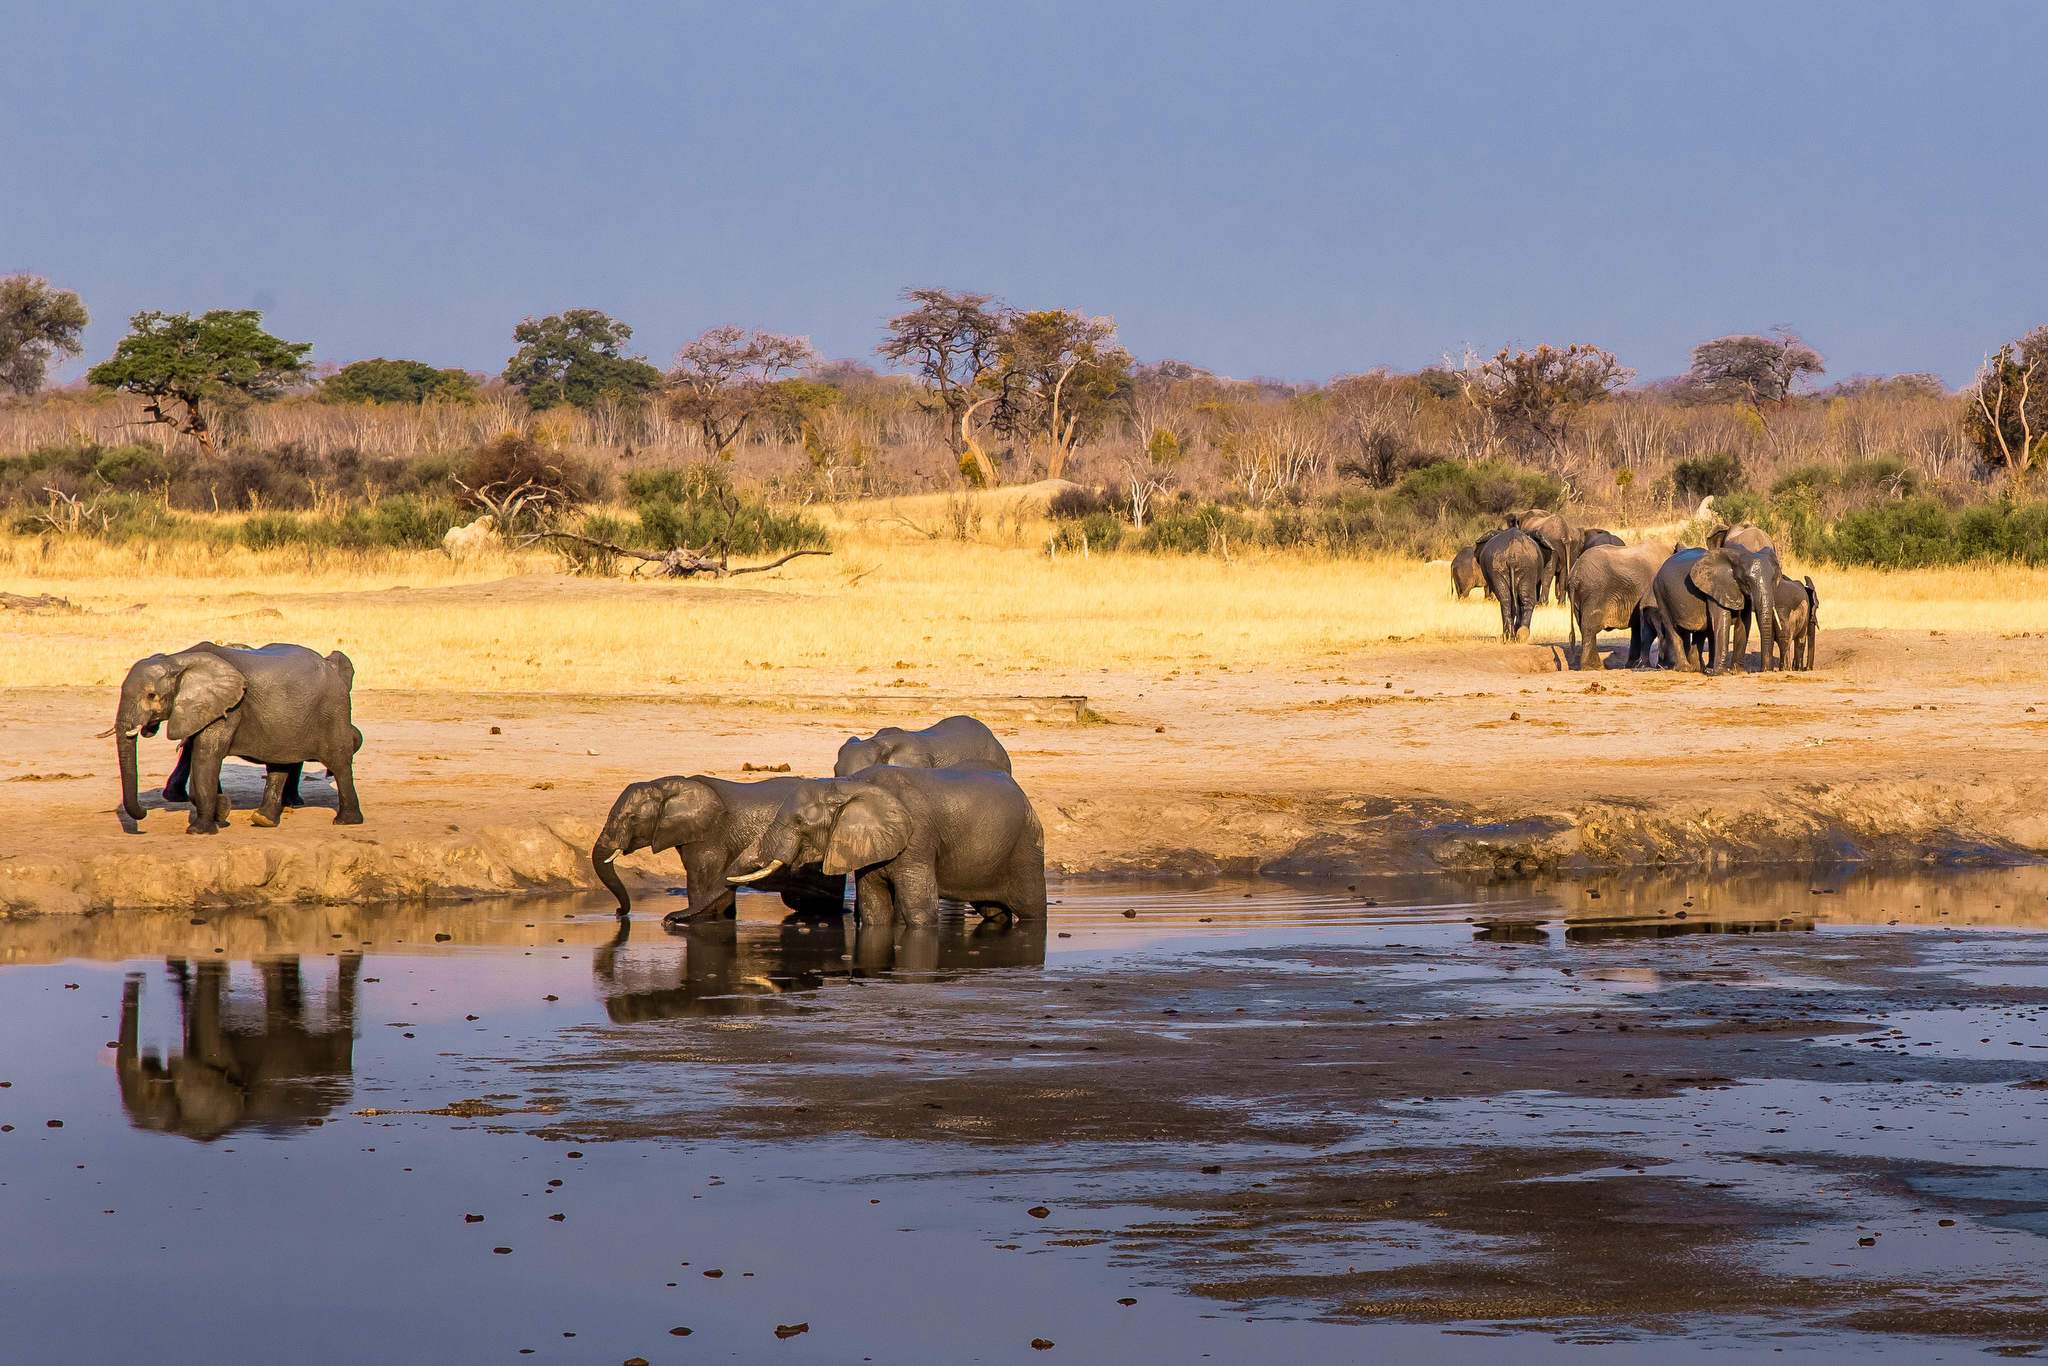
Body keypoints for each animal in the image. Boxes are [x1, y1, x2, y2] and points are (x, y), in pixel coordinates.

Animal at [105, 642, 362, 833]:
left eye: (151, 695)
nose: (144, 813)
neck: (178, 660)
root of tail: (328, 665)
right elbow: (200, 757)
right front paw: (221, 811)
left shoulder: (228, 707)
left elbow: (207, 756)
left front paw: (201, 829)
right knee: (280, 763)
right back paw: (264, 820)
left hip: (332, 710)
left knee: (339, 763)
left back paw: (346, 821)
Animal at [728, 766, 1046, 926]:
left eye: (799, 822)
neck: (850, 785)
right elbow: (874, 908)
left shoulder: (918, 838)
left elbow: (919, 909)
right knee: (995, 912)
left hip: (1026, 848)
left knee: (1031, 909)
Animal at [1565, 541, 1671, 670]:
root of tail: (1574, 575)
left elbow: (1637, 628)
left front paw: (1632, 665)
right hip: (1595, 592)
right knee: (1589, 627)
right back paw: (1592, 667)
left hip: (1578, 598)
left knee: (1583, 626)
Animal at [1650, 544, 1785, 674]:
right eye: (1747, 581)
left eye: (1774, 579)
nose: (1767, 670)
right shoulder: (1716, 588)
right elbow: (1722, 620)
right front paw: (1722, 673)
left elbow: (1744, 623)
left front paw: (1739, 672)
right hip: (1660, 593)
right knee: (1672, 628)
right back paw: (1685, 669)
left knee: (1701, 629)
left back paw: (1697, 669)